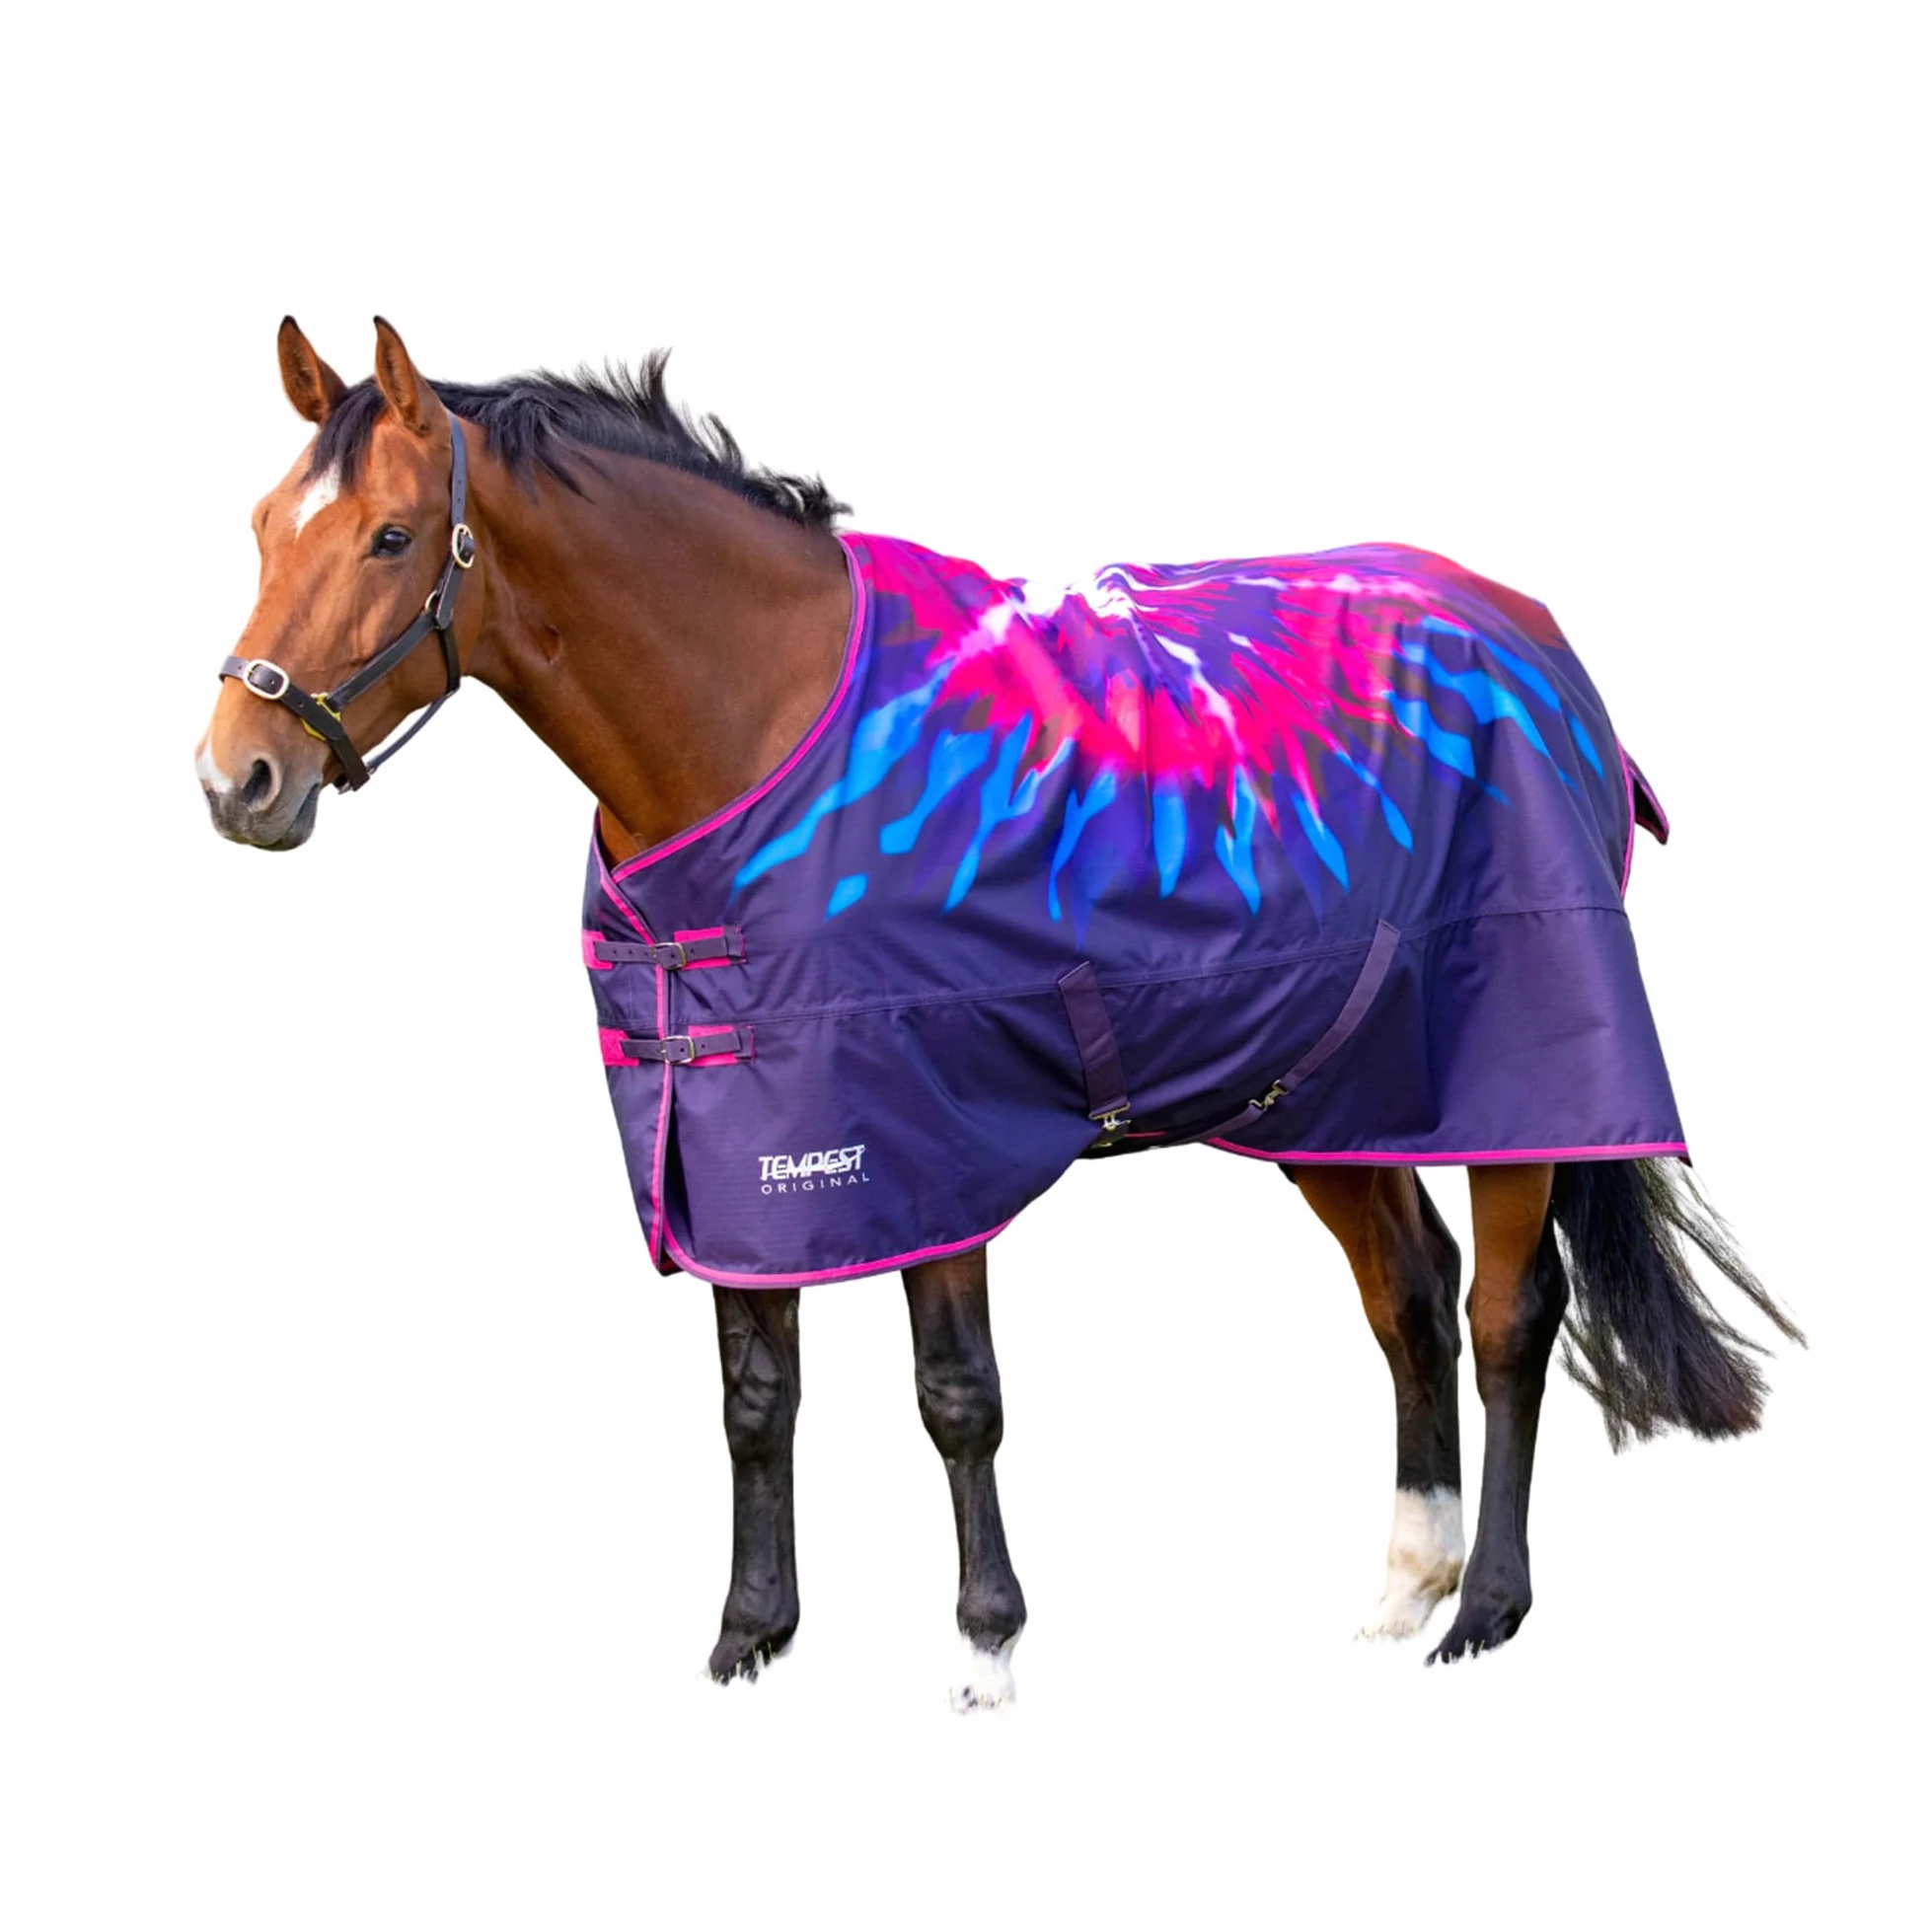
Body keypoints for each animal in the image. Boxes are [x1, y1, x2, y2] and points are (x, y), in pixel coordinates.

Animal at [197, 317, 1800, 1708]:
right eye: (268, 526)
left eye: (390, 537)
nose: (237, 778)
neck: (761, 725)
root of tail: (1535, 644)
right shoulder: (739, 1147)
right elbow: (754, 1397)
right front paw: (749, 1636)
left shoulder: (932, 1138)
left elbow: (955, 1394)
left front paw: (986, 1647)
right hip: (1329, 1091)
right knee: (1405, 1295)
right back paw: (1405, 1579)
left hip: (1512, 1075)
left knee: (1504, 1313)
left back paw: (1482, 1612)